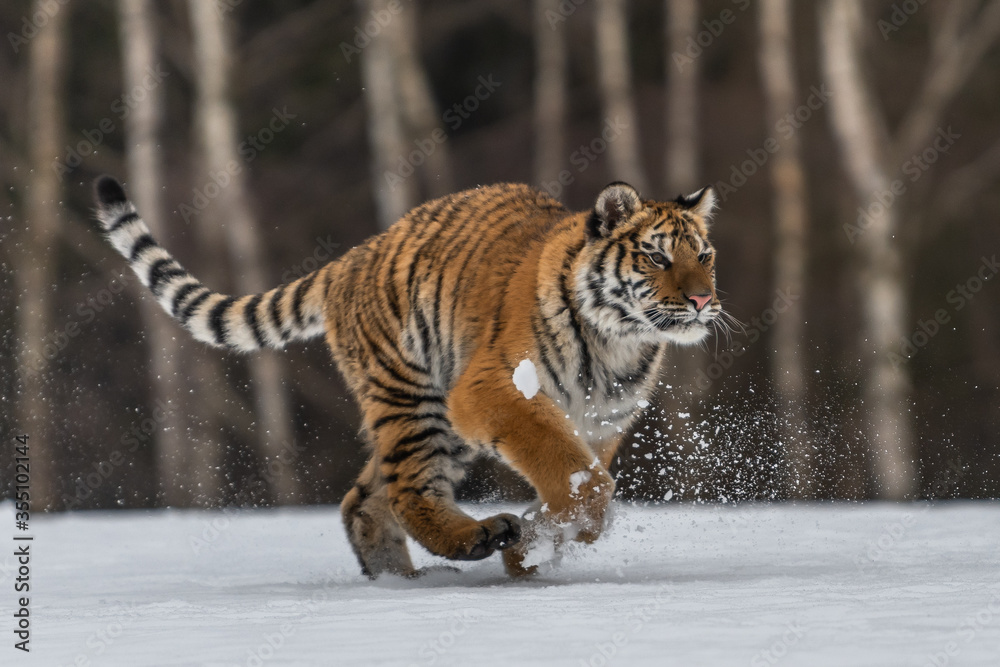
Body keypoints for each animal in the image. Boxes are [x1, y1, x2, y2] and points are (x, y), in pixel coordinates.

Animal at [91, 176, 722, 578]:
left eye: (705, 254)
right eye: (657, 257)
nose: (701, 300)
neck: (619, 340)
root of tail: (351, 256)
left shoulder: (601, 422)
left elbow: (579, 479)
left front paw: (536, 544)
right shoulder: (494, 388)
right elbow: (579, 477)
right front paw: (538, 540)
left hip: (442, 423)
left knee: (362, 497)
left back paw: (399, 582)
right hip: (419, 398)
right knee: (406, 489)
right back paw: (478, 538)